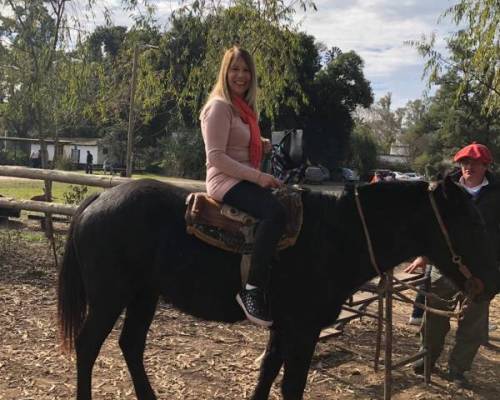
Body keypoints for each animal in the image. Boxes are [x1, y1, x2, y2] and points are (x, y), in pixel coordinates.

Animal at [57, 177, 496, 400]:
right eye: (472, 221)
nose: (492, 284)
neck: (337, 234)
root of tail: (98, 198)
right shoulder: (303, 329)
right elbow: (291, 385)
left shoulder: (283, 327)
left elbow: (268, 373)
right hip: (110, 296)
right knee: (89, 345)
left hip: (144, 295)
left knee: (130, 344)